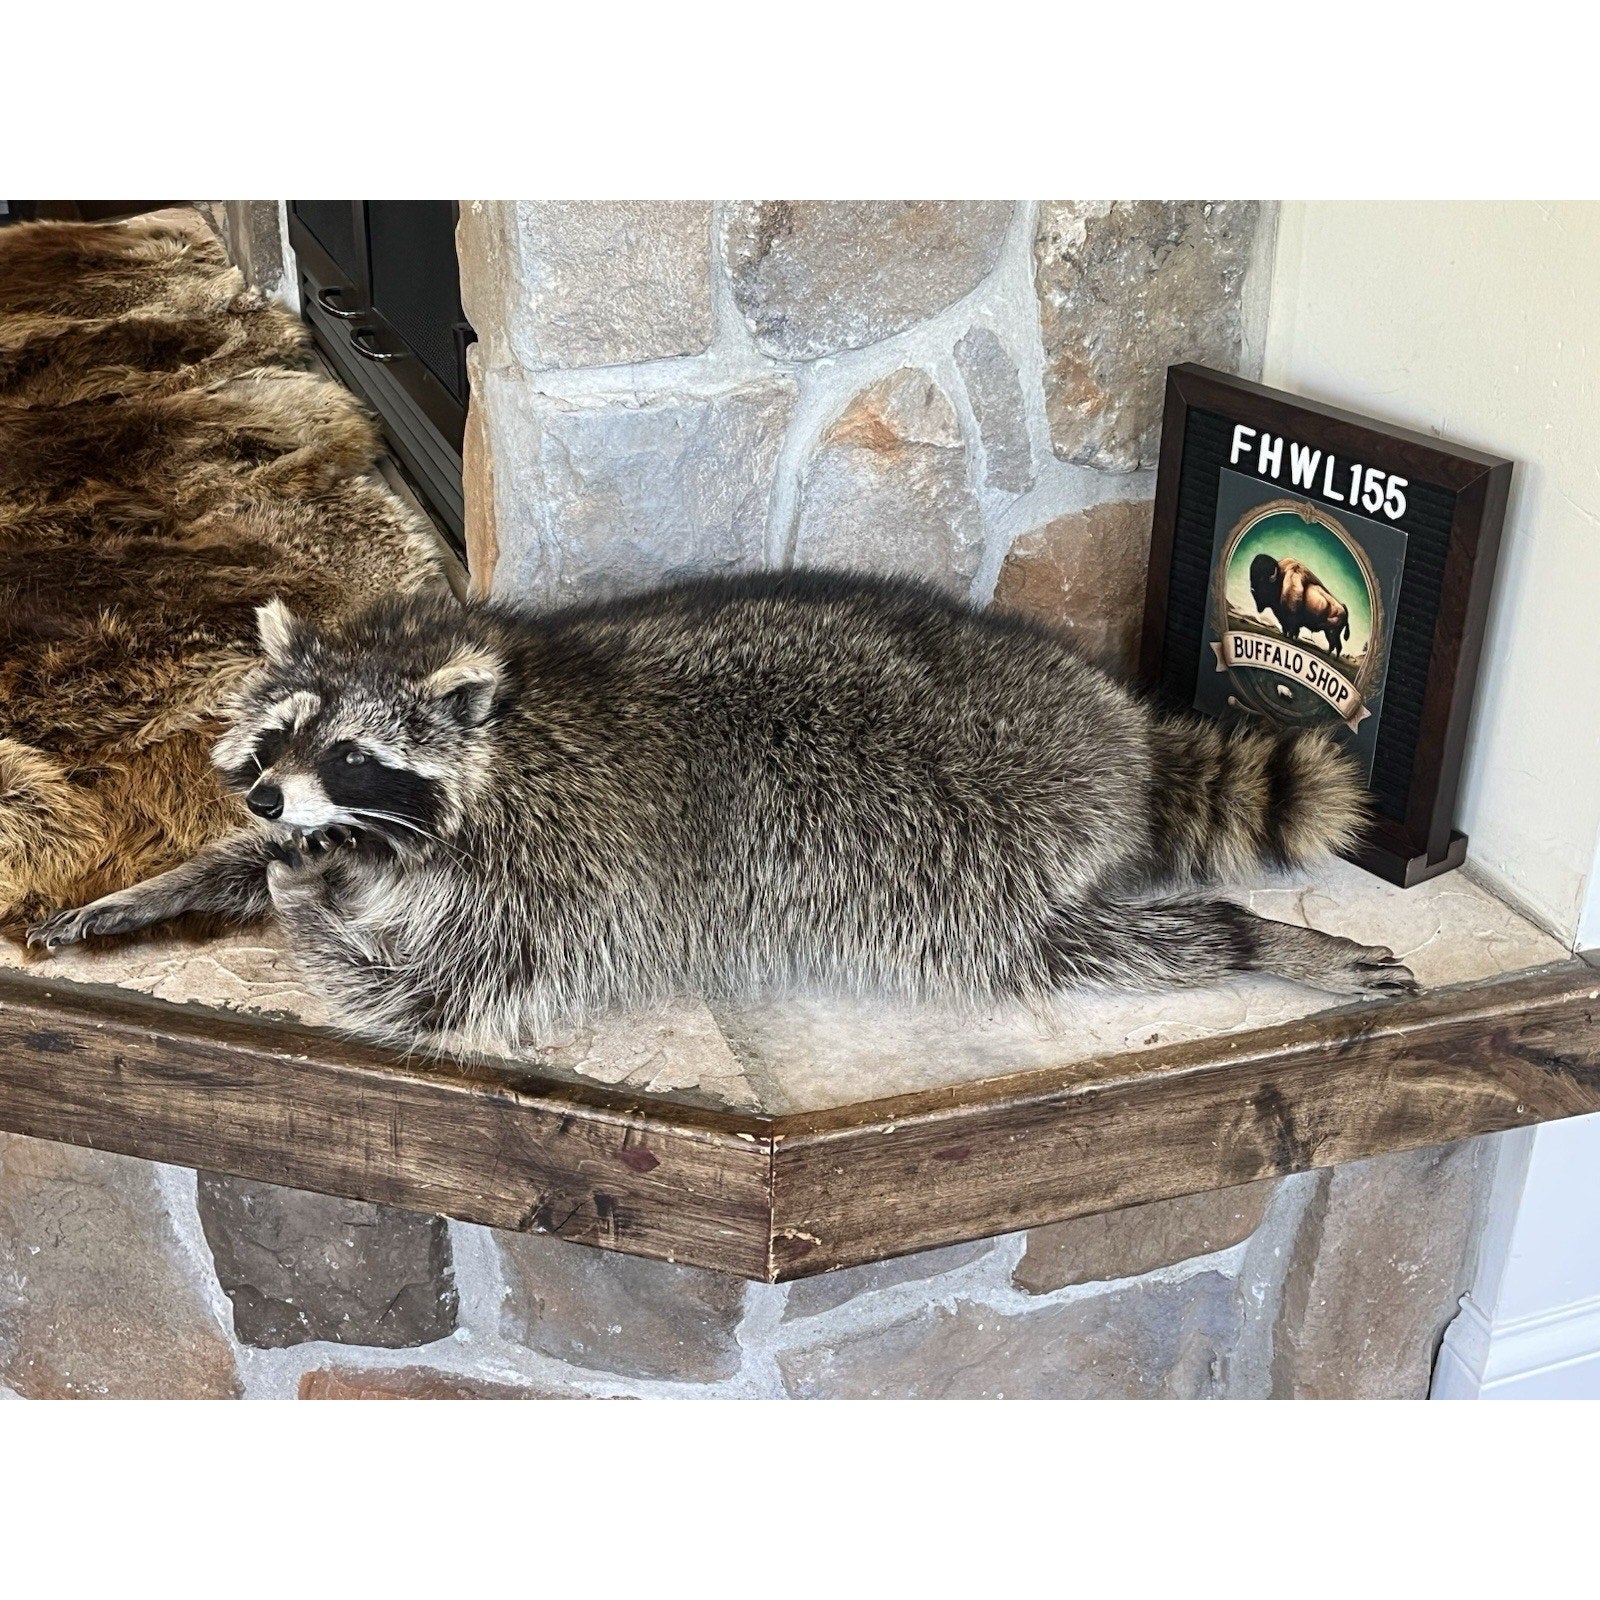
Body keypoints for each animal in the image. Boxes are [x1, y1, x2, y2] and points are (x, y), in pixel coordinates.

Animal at [29, 571, 1415, 1050]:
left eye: (352, 751)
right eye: (277, 738)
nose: (266, 790)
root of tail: (1107, 727)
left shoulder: (565, 874)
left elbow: (433, 994)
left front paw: (304, 899)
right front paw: (172, 882)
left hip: (967, 851)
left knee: (1067, 944)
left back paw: (1253, 939)